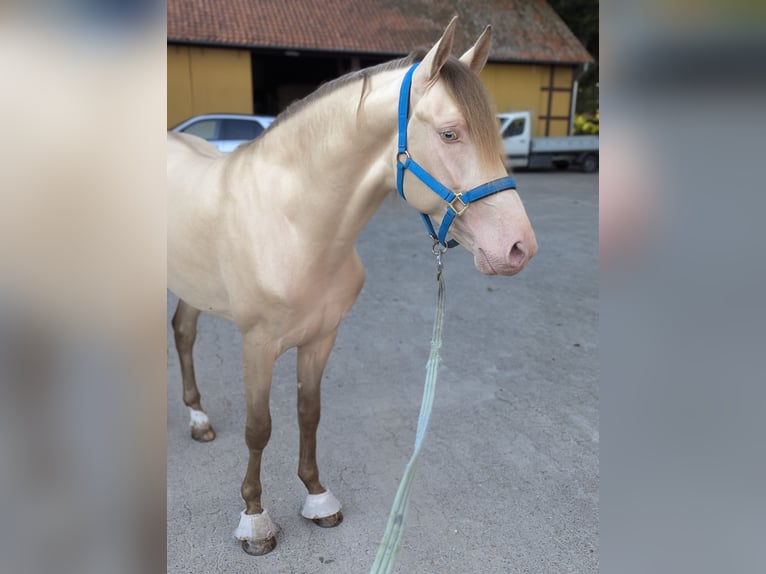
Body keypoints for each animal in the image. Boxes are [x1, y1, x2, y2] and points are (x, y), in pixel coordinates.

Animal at [168, 19, 540, 560]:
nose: (518, 247)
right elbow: (260, 428)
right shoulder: (257, 345)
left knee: (183, 332)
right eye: (450, 133)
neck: (293, 223)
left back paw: (198, 421)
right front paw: (255, 520)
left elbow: (309, 414)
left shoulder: (322, 337)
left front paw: (318, 497)